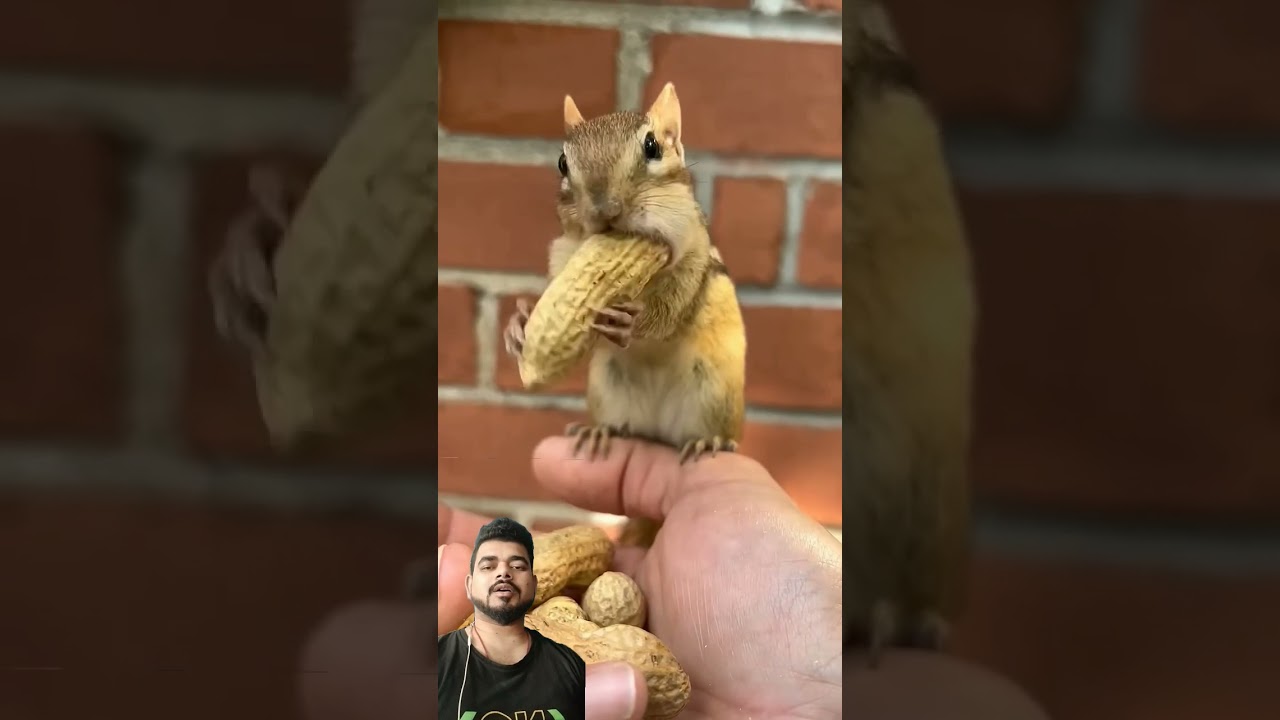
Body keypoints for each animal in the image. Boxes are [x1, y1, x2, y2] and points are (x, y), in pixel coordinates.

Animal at [502, 83, 748, 548]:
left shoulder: (694, 265)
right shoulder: (564, 258)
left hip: (713, 395)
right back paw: (599, 432)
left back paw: (707, 442)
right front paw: (519, 323)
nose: (605, 210)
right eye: (562, 162)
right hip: (608, 391)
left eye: (653, 147)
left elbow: (672, 309)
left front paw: (632, 323)